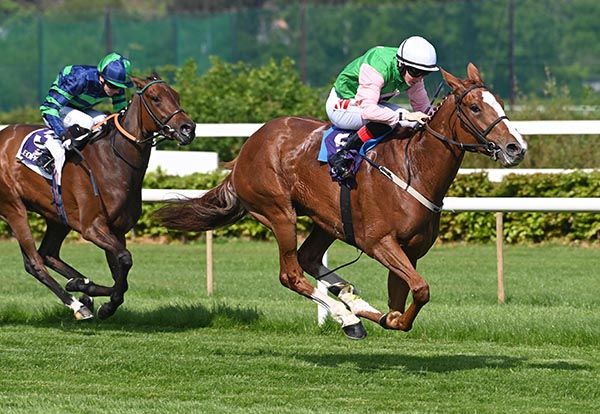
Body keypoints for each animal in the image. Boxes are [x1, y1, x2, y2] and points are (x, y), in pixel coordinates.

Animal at [0, 73, 195, 320]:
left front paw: (88, 290)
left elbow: (120, 272)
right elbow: (125, 260)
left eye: (176, 96)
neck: (113, 160)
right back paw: (77, 305)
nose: (188, 128)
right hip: (13, 207)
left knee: (47, 254)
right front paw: (97, 299)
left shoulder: (117, 230)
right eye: (155, 97)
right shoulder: (92, 227)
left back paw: (81, 286)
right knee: (35, 263)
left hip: (57, 216)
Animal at [156, 62, 524, 340]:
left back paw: (349, 298)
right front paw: (367, 314)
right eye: (475, 107)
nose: (515, 147)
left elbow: (401, 305)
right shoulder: (380, 242)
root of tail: (246, 150)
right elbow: (420, 291)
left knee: (308, 257)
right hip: (278, 212)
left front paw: (370, 309)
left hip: (327, 220)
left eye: (500, 103)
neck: (413, 168)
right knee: (291, 273)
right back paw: (346, 317)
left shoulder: (411, 250)